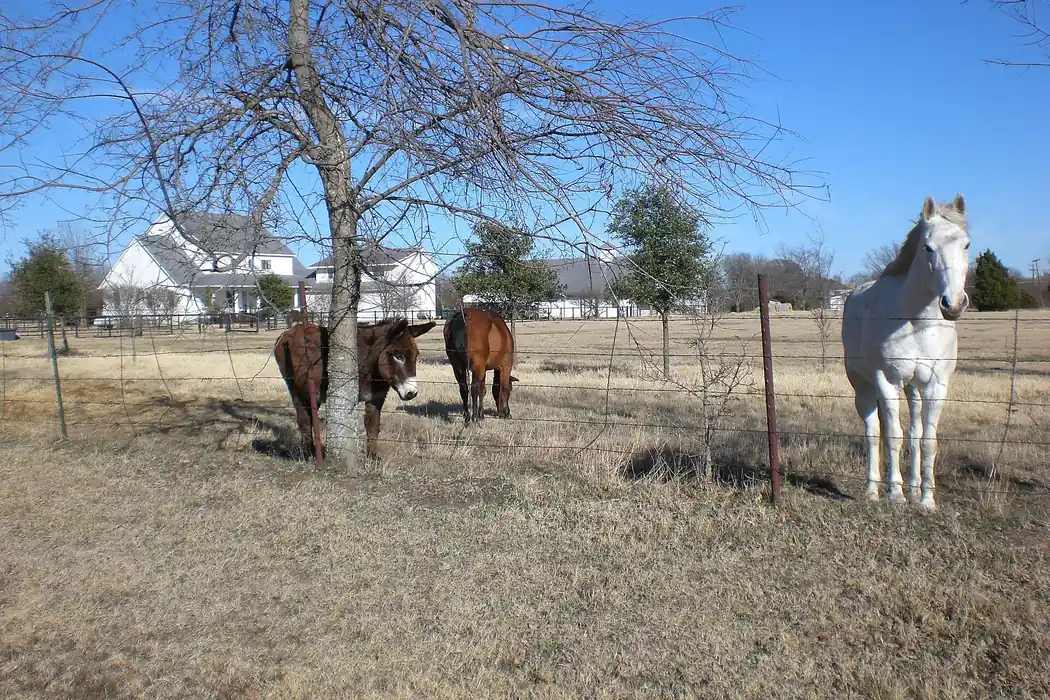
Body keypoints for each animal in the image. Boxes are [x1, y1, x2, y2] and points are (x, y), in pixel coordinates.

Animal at [274, 314, 437, 459]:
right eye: (398, 356)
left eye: (416, 356)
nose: (412, 393)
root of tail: (288, 331)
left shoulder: (376, 398)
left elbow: (373, 427)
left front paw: (372, 458)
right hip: (296, 388)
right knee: (303, 418)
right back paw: (307, 454)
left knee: (309, 417)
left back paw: (312, 451)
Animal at [841, 194, 971, 511]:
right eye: (928, 247)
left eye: (966, 244)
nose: (954, 304)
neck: (917, 324)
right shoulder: (887, 381)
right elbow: (893, 436)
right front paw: (895, 494)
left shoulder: (936, 386)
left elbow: (926, 440)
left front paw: (925, 499)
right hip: (864, 387)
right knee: (873, 433)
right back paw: (873, 490)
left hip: (913, 388)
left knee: (914, 431)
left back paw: (914, 489)